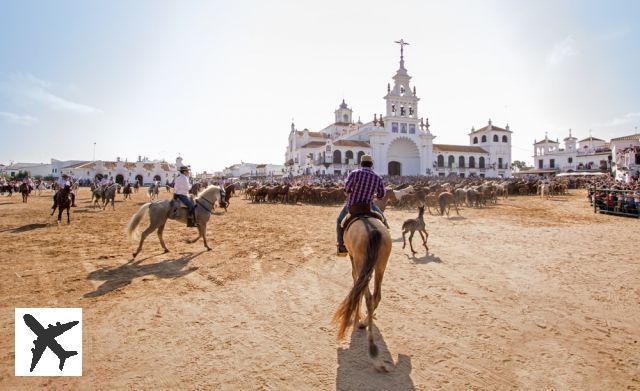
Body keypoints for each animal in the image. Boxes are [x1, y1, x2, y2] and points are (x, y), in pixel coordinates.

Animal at [332, 217, 392, 362]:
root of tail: (373, 231)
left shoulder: (352, 257)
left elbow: (354, 280)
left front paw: (356, 314)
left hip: (361, 264)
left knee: (367, 296)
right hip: (380, 266)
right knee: (376, 295)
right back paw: (365, 322)